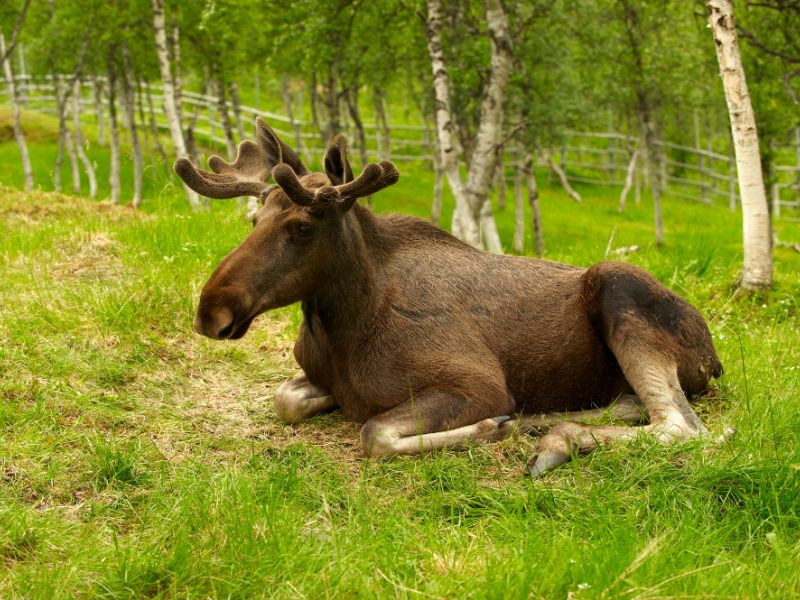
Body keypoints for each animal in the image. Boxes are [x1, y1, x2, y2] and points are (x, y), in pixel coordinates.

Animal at [177, 119, 724, 478]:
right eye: (253, 219)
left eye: (303, 227)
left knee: (682, 426)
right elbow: (285, 399)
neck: (342, 324)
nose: (211, 310)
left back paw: (551, 438)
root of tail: (714, 357)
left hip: (617, 283)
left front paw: (489, 429)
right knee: (634, 405)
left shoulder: (476, 385)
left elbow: (373, 433)